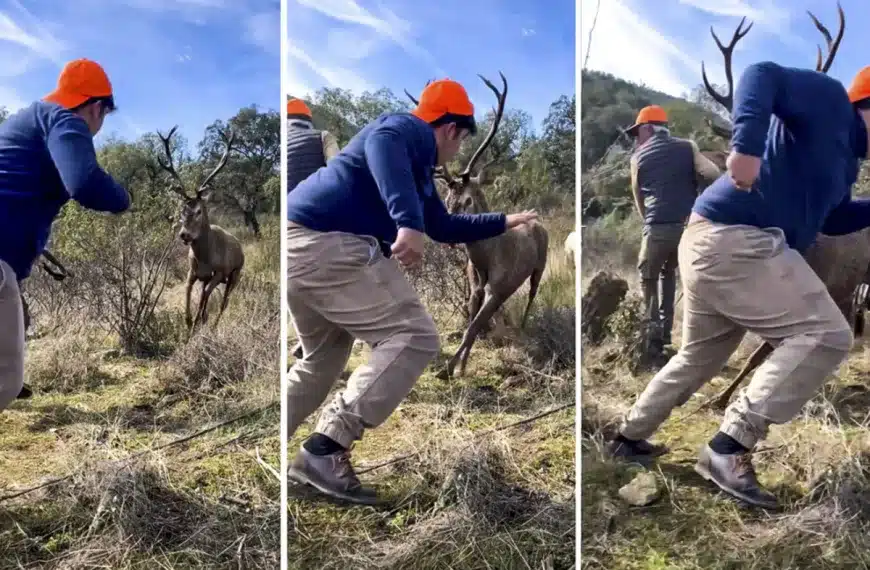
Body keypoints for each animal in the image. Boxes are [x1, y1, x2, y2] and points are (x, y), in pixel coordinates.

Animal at [156, 125, 245, 334]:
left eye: (198, 211)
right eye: (182, 210)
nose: (184, 234)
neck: (204, 257)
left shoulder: (220, 272)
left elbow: (206, 296)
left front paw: (197, 323)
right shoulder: (192, 272)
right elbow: (189, 293)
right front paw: (188, 322)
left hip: (235, 273)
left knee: (224, 302)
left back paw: (213, 323)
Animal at [406, 72, 549, 380]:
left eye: (469, 199)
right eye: (447, 198)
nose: (449, 238)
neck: (485, 258)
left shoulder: (496, 286)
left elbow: (471, 328)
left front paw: (447, 370)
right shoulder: (477, 288)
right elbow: (471, 324)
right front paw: (460, 367)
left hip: (539, 267)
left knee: (532, 295)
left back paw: (523, 327)